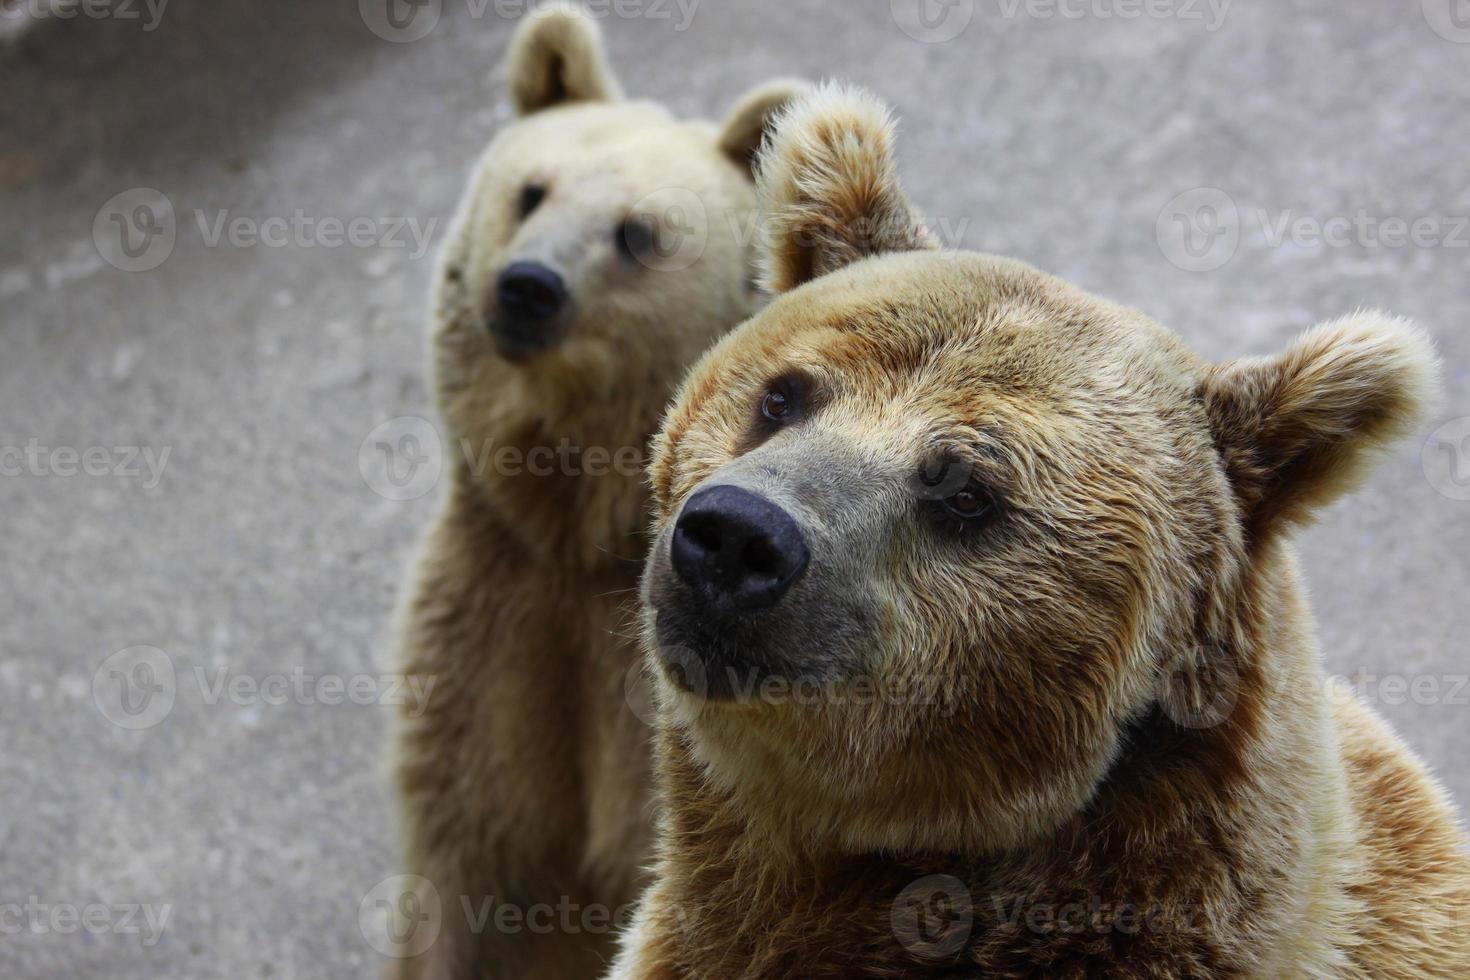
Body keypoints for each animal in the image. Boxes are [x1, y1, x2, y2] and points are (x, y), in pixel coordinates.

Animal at [391, 9, 799, 980]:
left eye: (637, 234)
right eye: (531, 191)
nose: (528, 286)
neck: (575, 534)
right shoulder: (494, 633)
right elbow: (468, 869)